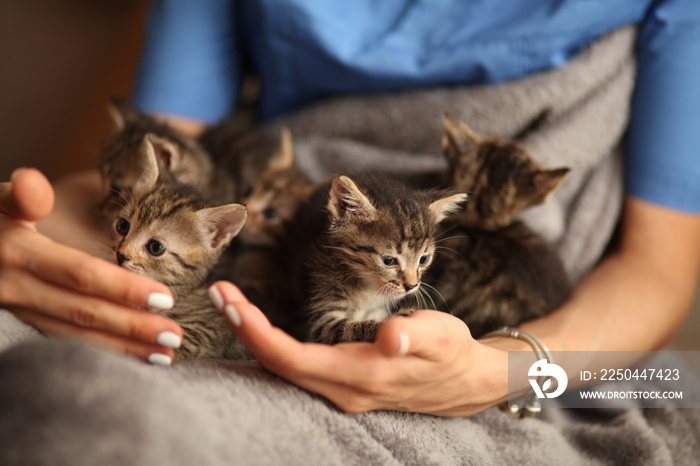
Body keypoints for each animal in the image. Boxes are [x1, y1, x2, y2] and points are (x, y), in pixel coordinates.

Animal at [292, 173, 468, 344]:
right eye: (389, 261)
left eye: (424, 259)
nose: (411, 286)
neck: (365, 288)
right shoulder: (320, 318)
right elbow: (349, 330)